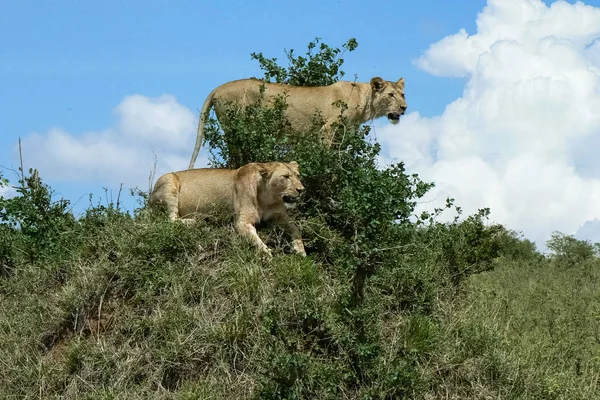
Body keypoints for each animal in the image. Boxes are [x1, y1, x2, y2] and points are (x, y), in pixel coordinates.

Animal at [148, 160, 308, 256]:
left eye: (298, 176)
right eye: (286, 177)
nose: (301, 189)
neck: (268, 199)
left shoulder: (280, 216)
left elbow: (296, 229)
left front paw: (301, 251)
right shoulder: (241, 222)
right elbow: (256, 241)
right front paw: (268, 255)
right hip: (169, 181)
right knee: (171, 220)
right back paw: (196, 220)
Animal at [188, 77, 408, 169]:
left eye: (402, 94)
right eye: (391, 94)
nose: (404, 108)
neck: (365, 102)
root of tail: (218, 88)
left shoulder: (346, 133)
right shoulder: (327, 128)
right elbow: (326, 155)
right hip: (233, 127)